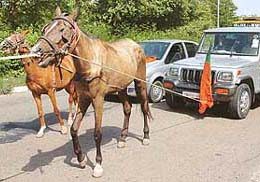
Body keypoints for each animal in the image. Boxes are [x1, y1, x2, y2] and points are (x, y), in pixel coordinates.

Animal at [30, 6, 152, 176]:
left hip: (140, 83)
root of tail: (136, 45)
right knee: (127, 109)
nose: (36, 51)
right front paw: (81, 159)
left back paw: (146, 136)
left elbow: (97, 133)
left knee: (144, 107)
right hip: (120, 88)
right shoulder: (83, 98)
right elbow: (74, 129)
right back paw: (122, 139)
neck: (90, 63)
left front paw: (98, 165)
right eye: (46, 28)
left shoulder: (98, 99)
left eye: (62, 29)